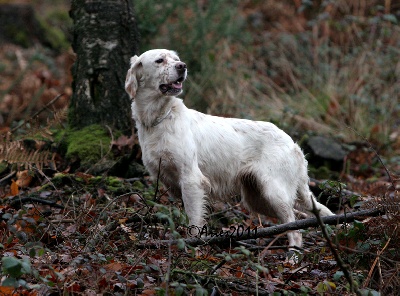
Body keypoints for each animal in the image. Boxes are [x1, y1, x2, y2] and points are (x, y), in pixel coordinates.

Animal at [125, 48, 334, 247]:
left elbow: (194, 222)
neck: (160, 118)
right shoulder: (172, 184)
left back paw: (292, 255)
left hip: (274, 192)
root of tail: (292, 143)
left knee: (295, 229)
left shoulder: (191, 180)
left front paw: (194, 249)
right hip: (259, 199)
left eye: (176, 59)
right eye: (160, 60)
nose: (182, 66)